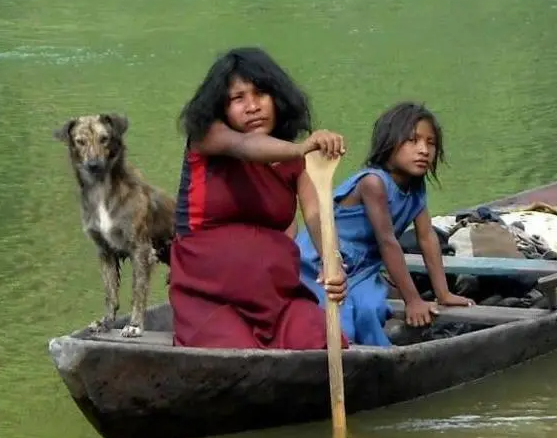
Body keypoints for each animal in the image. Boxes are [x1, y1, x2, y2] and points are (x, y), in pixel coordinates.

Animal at [53, 114, 176, 338]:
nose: (93, 165)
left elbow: (138, 292)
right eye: (80, 141)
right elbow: (110, 294)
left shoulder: (141, 250)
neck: (101, 190)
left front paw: (135, 325)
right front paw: (106, 322)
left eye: (104, 138)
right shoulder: (104, 250)